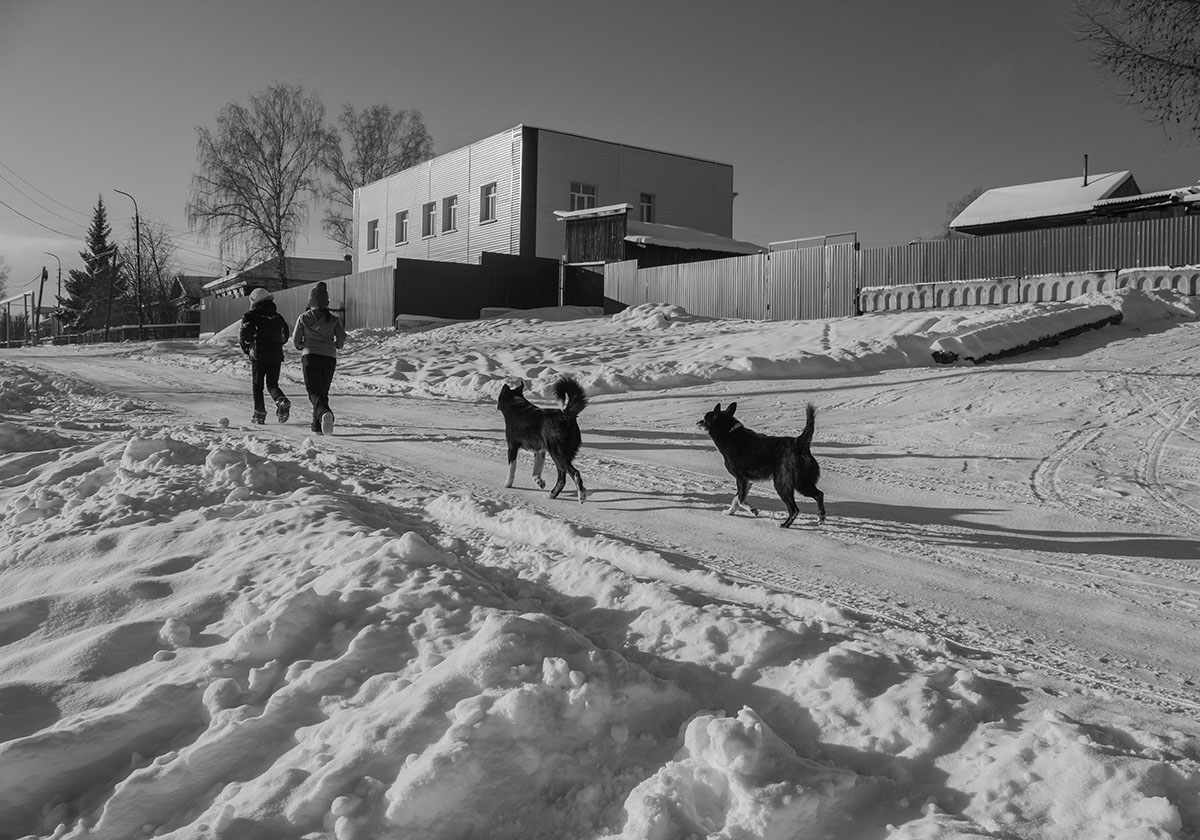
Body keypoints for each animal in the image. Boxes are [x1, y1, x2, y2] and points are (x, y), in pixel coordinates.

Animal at [696, 400, 825, 525]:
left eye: (705, 418)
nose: (697, 423)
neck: (728, 433)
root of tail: (799, 443)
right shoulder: (747, 481)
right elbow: (736, 499)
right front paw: (729, 512)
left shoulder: (741, 478)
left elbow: (740, 500)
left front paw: (753, 510)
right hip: (802, 483)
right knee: (819, 494)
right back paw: (821, 517)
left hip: (783, 484)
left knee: (794, 509)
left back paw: (785, 524)